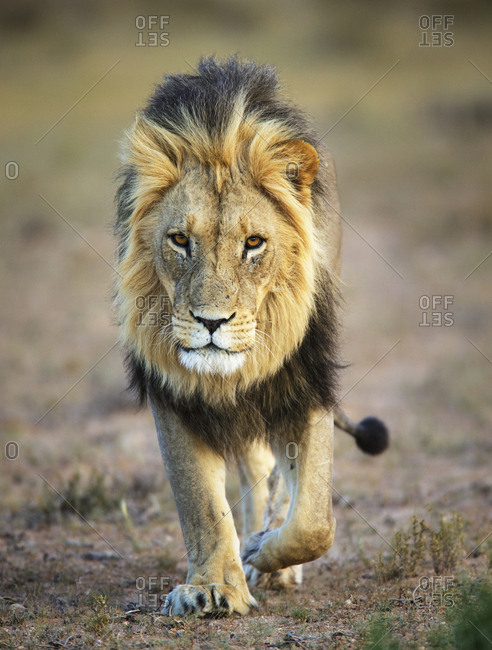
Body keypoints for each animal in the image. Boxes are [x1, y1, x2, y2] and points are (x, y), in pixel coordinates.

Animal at [114, 57, 388, 616]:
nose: (211, 322)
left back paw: (271, 559)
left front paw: (266, 550)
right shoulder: (172, 393)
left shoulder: (307, 383)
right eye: (180, 239)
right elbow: (201, 503)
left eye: (254, 243)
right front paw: (213, 586)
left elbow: (315, 520)